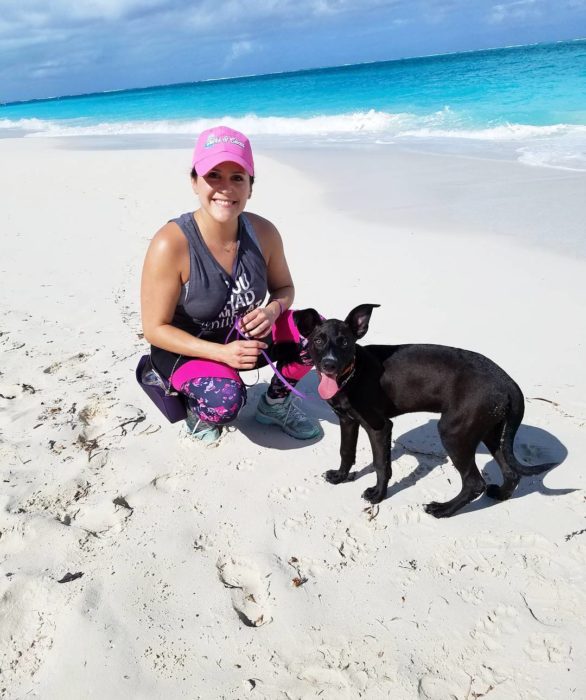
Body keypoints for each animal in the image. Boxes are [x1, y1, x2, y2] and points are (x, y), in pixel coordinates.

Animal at [294, 304, 556, 516]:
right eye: (318, 340)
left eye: (345, 342)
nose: (329, 364)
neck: (352, 374)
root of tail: (508, 382)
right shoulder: (347, 420)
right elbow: (346, 451)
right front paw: (340, 477)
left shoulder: (379, 427)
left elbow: (381, 464)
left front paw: (378, 495)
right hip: (492, 431)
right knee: (511, 473)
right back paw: (500, 495)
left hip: (454, 432)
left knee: (474, 483)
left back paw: (443, 510)